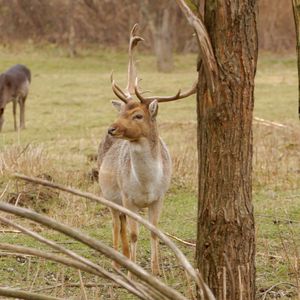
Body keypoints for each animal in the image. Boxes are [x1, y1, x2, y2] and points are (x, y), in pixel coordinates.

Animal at [98, 24, 197, 276]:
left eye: (138, 115)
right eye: (123, 111)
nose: (111, 128)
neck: (146, 184)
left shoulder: (159, 196)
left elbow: (154, 231)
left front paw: (156, 270)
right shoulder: (127, 196)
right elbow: (134, 233)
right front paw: (133, 271)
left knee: (121, 223)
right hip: (107, 193)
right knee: (116, 223)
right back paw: (117, 262)